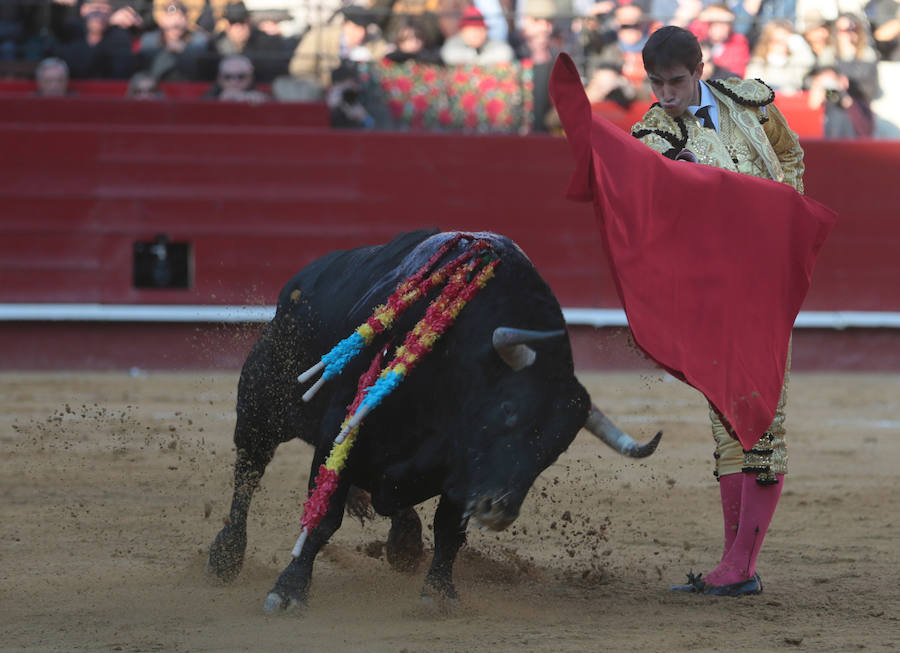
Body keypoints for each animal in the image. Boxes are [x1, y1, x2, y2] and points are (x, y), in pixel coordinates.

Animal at [209, 230, 660, 612]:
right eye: (508, 410)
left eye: (554, 450)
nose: (498, 510)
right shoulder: (342, 426)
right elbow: (323, 517)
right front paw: (289, 591)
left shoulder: (463, 470)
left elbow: (449, 530)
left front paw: (439, 593)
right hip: (262, 403)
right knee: (248, 471)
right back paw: (226, 555)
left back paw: (405, 543)